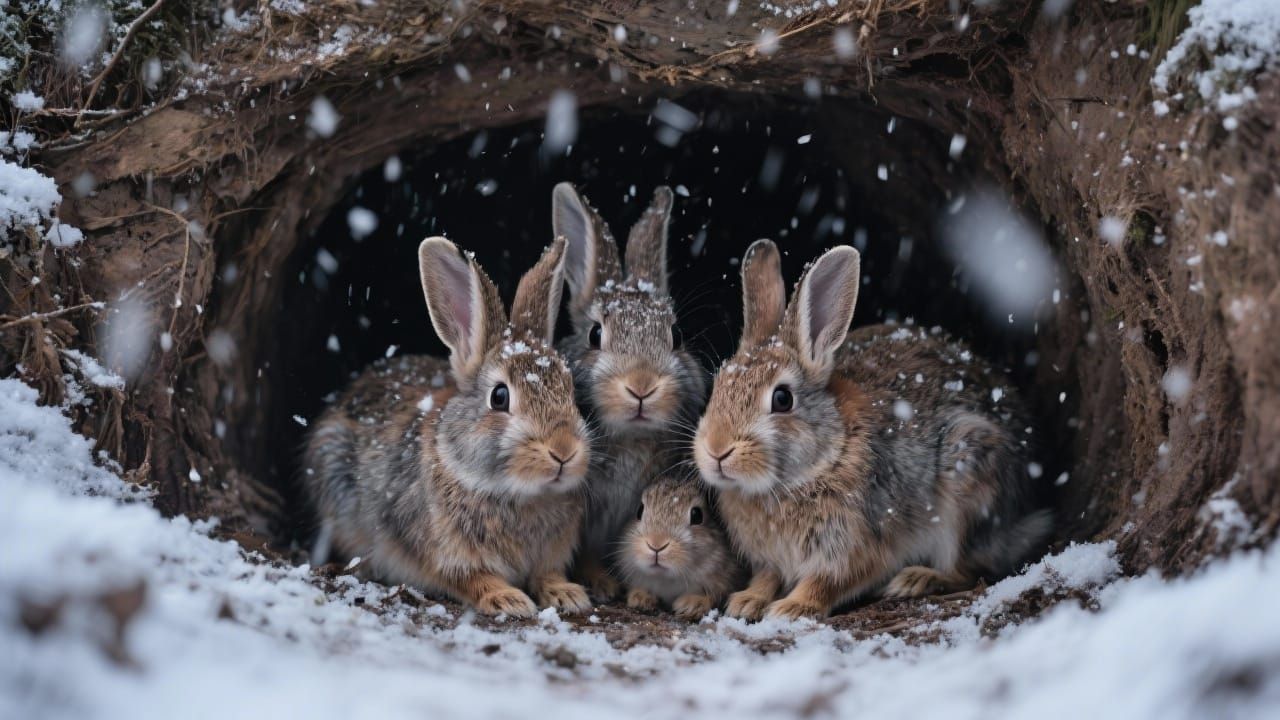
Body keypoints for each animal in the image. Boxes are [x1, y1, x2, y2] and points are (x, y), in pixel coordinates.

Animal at [301, 236, 593, 618]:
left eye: (570, 390)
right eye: (500, 397)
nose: (563, 450)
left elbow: (548, 573)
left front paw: (567, 594)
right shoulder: (443, 552)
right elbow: (471, 578)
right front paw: (509, 599)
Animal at [692, 239, 1052, 621]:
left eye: (782, 398)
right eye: (717, 386)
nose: (717, 450)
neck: (822, 462)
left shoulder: (858, 545)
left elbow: (827, 581)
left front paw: (791, 608)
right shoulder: (771, 559)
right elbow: (767, 577)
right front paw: (747, 601)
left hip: (969, 472)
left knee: (966, 567)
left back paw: (917, 579)